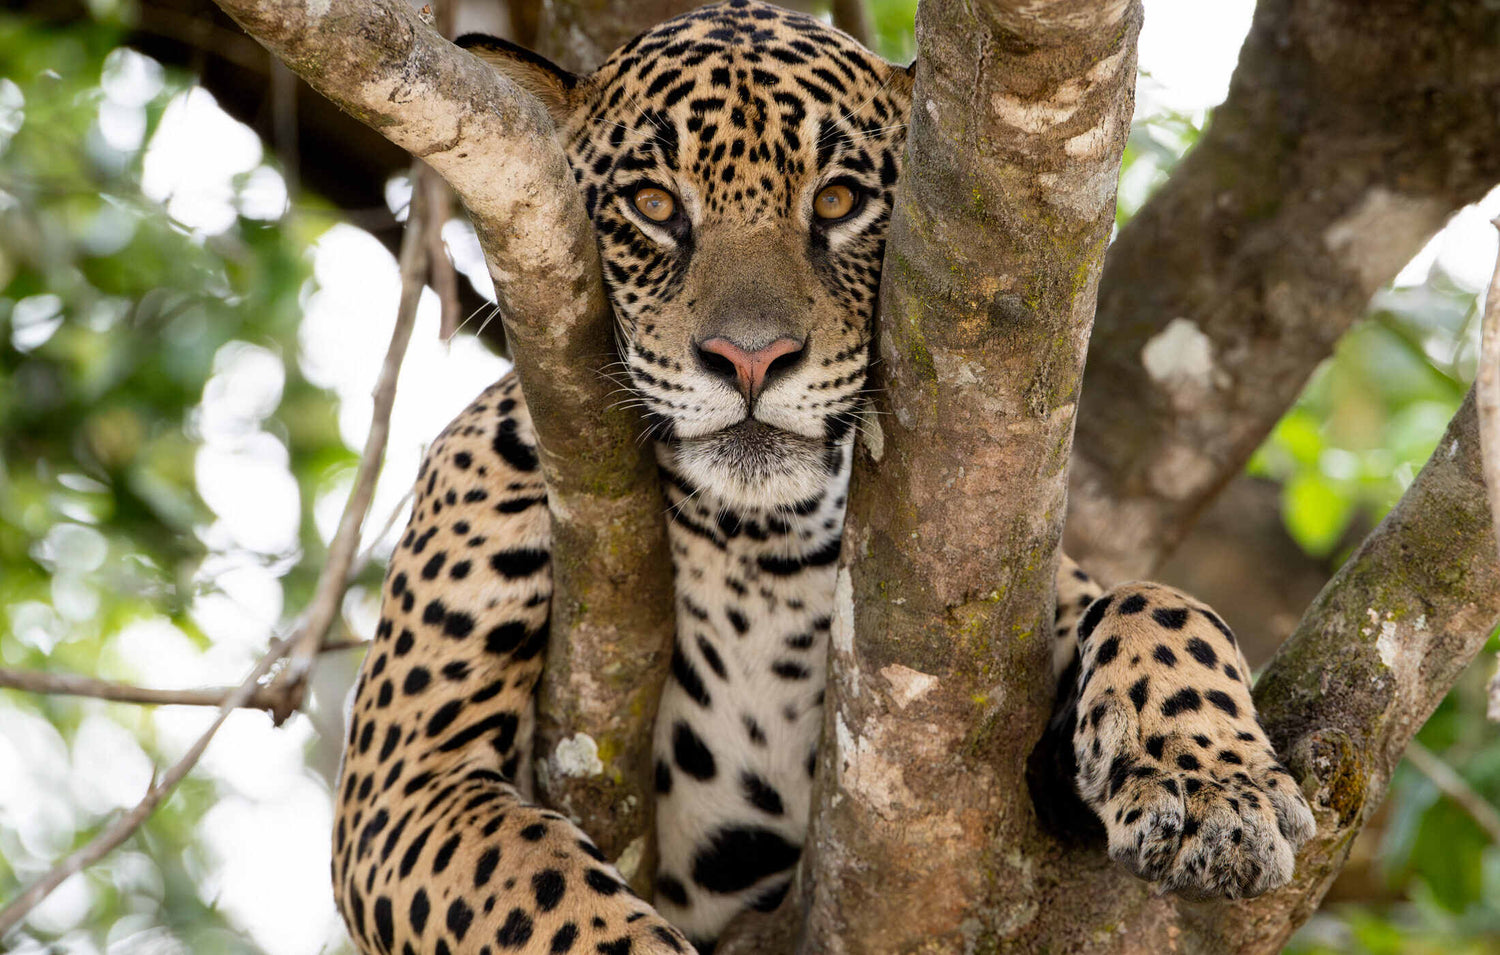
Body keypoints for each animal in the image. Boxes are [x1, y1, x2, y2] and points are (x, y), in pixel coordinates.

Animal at [330, 3, 1316, 953]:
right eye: (654, 204)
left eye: (839, 200)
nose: (751, 358)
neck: (754, 538)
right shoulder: (404, 783)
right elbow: (565, 906)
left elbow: (1162, 601)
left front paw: (1213, 783)